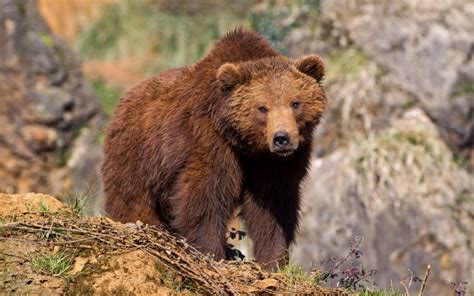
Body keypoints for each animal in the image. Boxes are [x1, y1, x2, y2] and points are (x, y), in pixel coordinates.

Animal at [102, 29, 328, 266]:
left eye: (295, 103)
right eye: (262, 108)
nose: (281, 138)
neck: (247, 144)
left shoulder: (277, 163)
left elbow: (272, 207)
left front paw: (273, 259)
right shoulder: (209, 141)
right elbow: (205, 198)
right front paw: (212, 252)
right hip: (138, 154)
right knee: (130, 196)